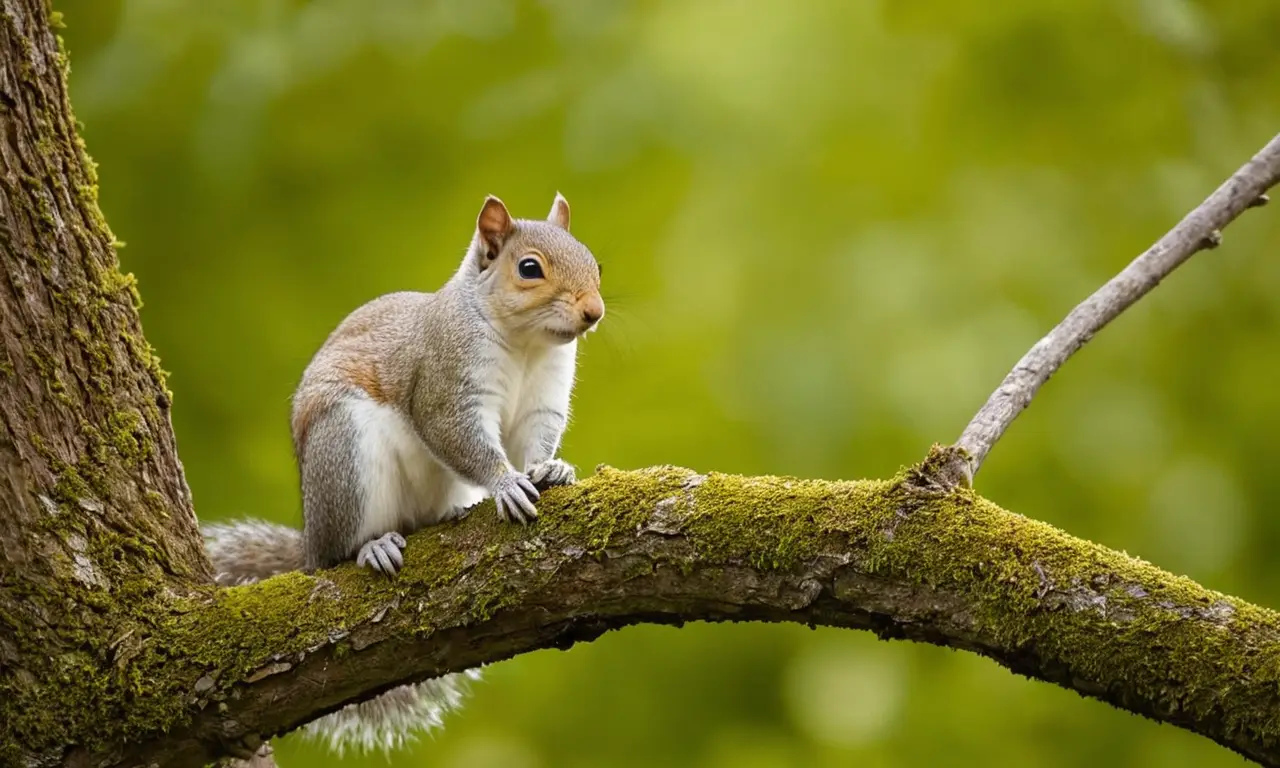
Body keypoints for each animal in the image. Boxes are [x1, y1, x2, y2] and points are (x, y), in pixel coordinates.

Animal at [202, 192, 604, 758]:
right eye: (530, 269)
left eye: (596, 265)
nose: (594, 312)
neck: (527, 344)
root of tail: (309, 547)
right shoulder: (444, 382)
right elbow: (459, 437)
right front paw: (506, 485)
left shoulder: (543, 399)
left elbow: (535, 441)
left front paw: (551, 468)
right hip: (343, 452)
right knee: (340, 551)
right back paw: (371, 547)